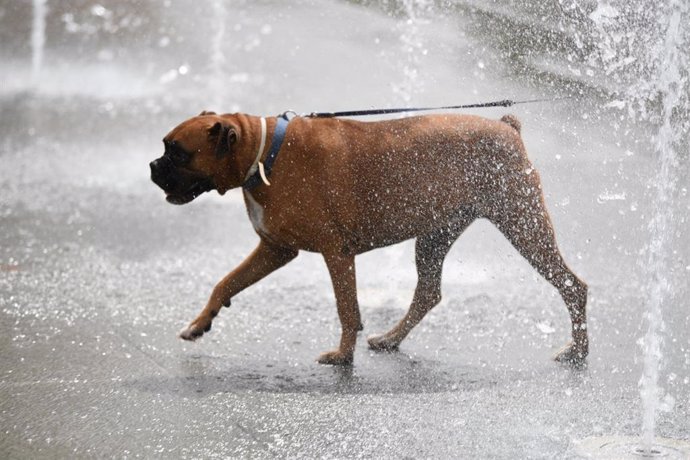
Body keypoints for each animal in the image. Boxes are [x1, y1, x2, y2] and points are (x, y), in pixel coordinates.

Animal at [149, 109, 584, 364]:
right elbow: (225, 283)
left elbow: (347, 309)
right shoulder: (275, 249)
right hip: (435, 237)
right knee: (428, 293)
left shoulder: (336, 254)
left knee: (572, 285)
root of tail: (506, 127)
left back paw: (578, 350)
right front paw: (199, 324)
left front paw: (343, 355)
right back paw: (390, 339)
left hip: (524, 226)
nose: (152, 166)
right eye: (165, 148)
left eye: (176, 152)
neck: (264, 151)